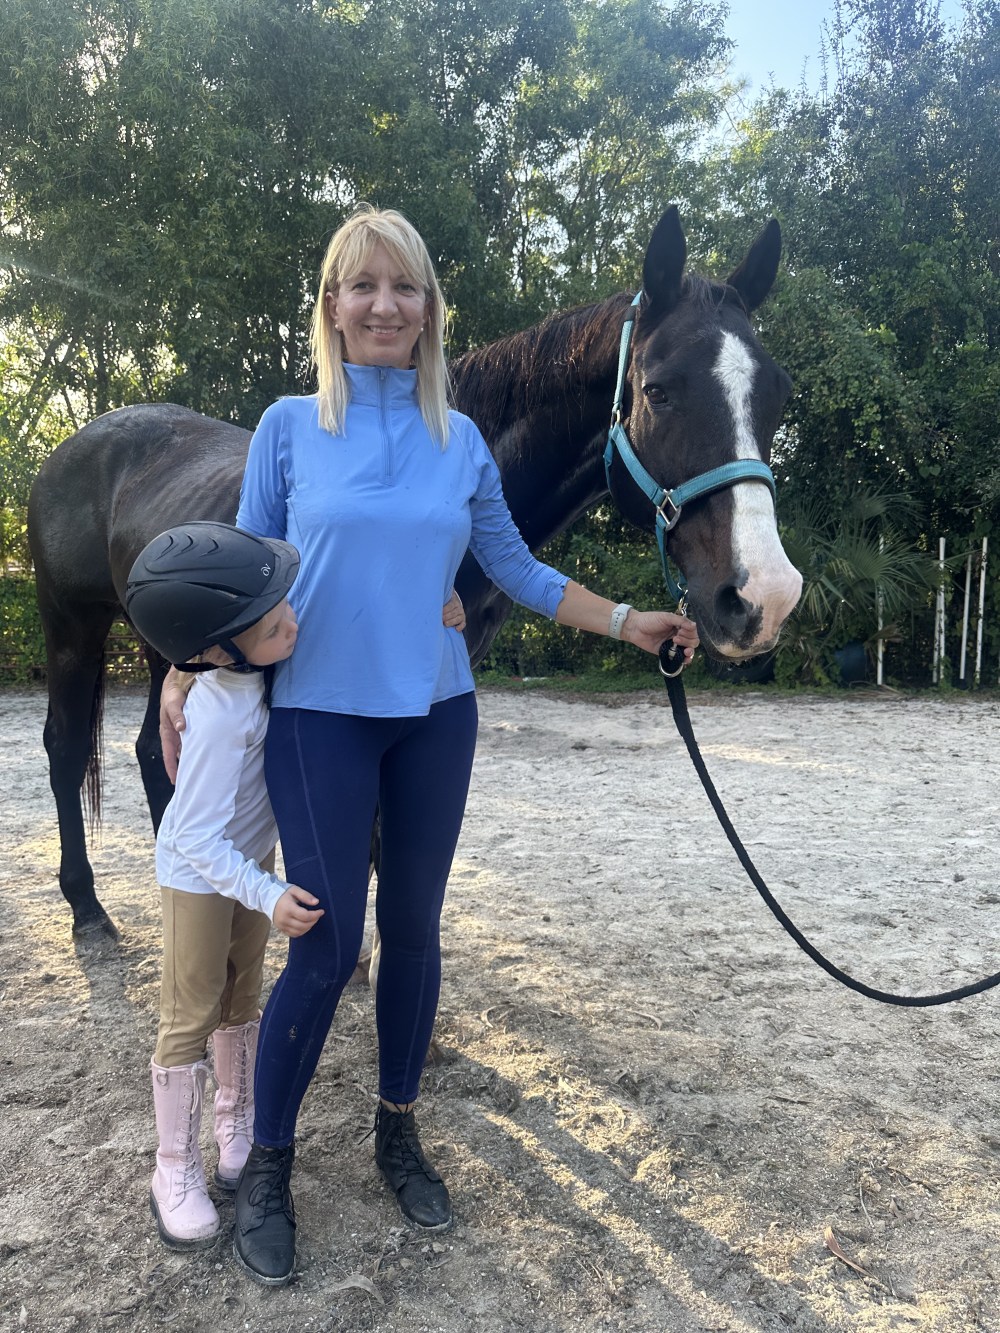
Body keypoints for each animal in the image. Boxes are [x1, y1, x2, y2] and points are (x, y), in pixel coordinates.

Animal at [27, 205, 802, 944]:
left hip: (170, 650)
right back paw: (88, 911)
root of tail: (79, 442)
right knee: (65, 750)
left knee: (154, 752)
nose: (764, 596)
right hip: (73, 629)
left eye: (778, 393)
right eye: (659, 390)